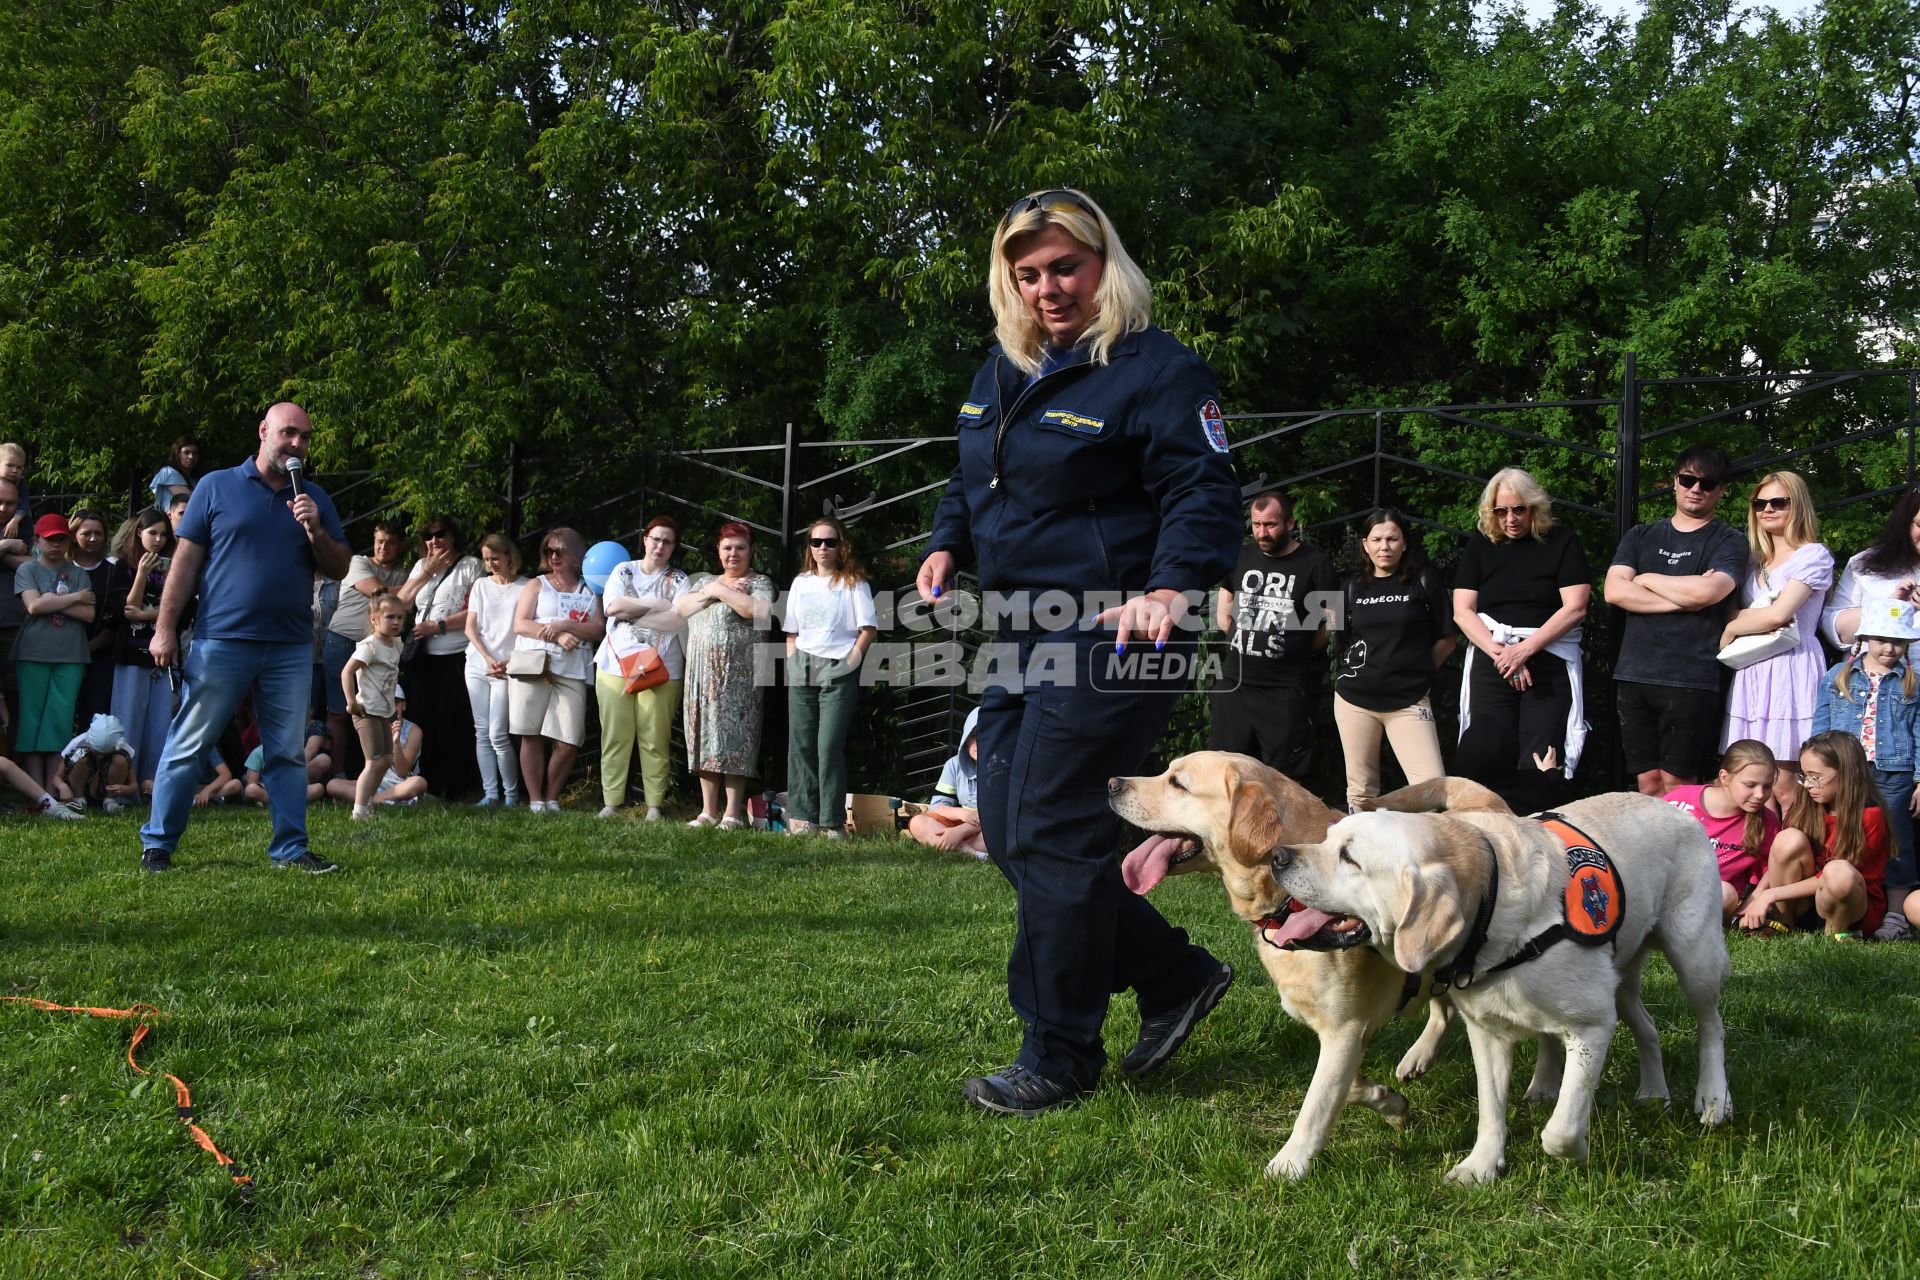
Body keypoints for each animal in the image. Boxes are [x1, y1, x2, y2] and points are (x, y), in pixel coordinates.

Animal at [1121, 752, 1505, 1182]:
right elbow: (1344, 1088)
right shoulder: (1346, 1033)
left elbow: (1315, 1104)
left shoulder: (1345, 1029)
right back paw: (1417, 1057)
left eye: (1178, 783)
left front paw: (1288, 1164)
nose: (1112, 783)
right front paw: (1391, 1104)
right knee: (1442, 1007)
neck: (1284, 902)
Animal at [1267, 794, 1735, 1189]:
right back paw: (1652, 1092)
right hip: (1619, 978)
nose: (1278, 856)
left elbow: (1561, 1129)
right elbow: (1490, 1109)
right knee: (1648, 1026)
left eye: (1350, 856)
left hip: (1693, 951)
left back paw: (1713, 1099)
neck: (1489, 912)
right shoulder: (1487, 1031)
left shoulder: (1592, 1025)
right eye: (1327, 837)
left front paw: (1577, 1151)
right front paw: (1481, 1166)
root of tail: (1673, 807)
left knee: (1711, 1025)